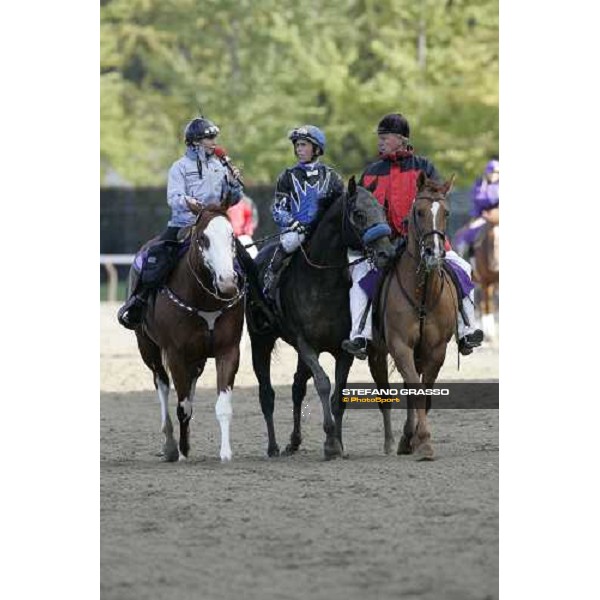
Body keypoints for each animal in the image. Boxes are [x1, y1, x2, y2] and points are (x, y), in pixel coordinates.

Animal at [133, 204, 244, 462]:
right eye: (203, 238)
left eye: (232, 236)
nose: (227, 282)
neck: (204, 300)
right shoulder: (175, 354)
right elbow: (183, 406)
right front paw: (182, 452)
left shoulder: (228, 351)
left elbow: (222, 405)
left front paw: (226, 453)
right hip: (147, 347)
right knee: (162, 384)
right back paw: (170, 445)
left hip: (197, 359)